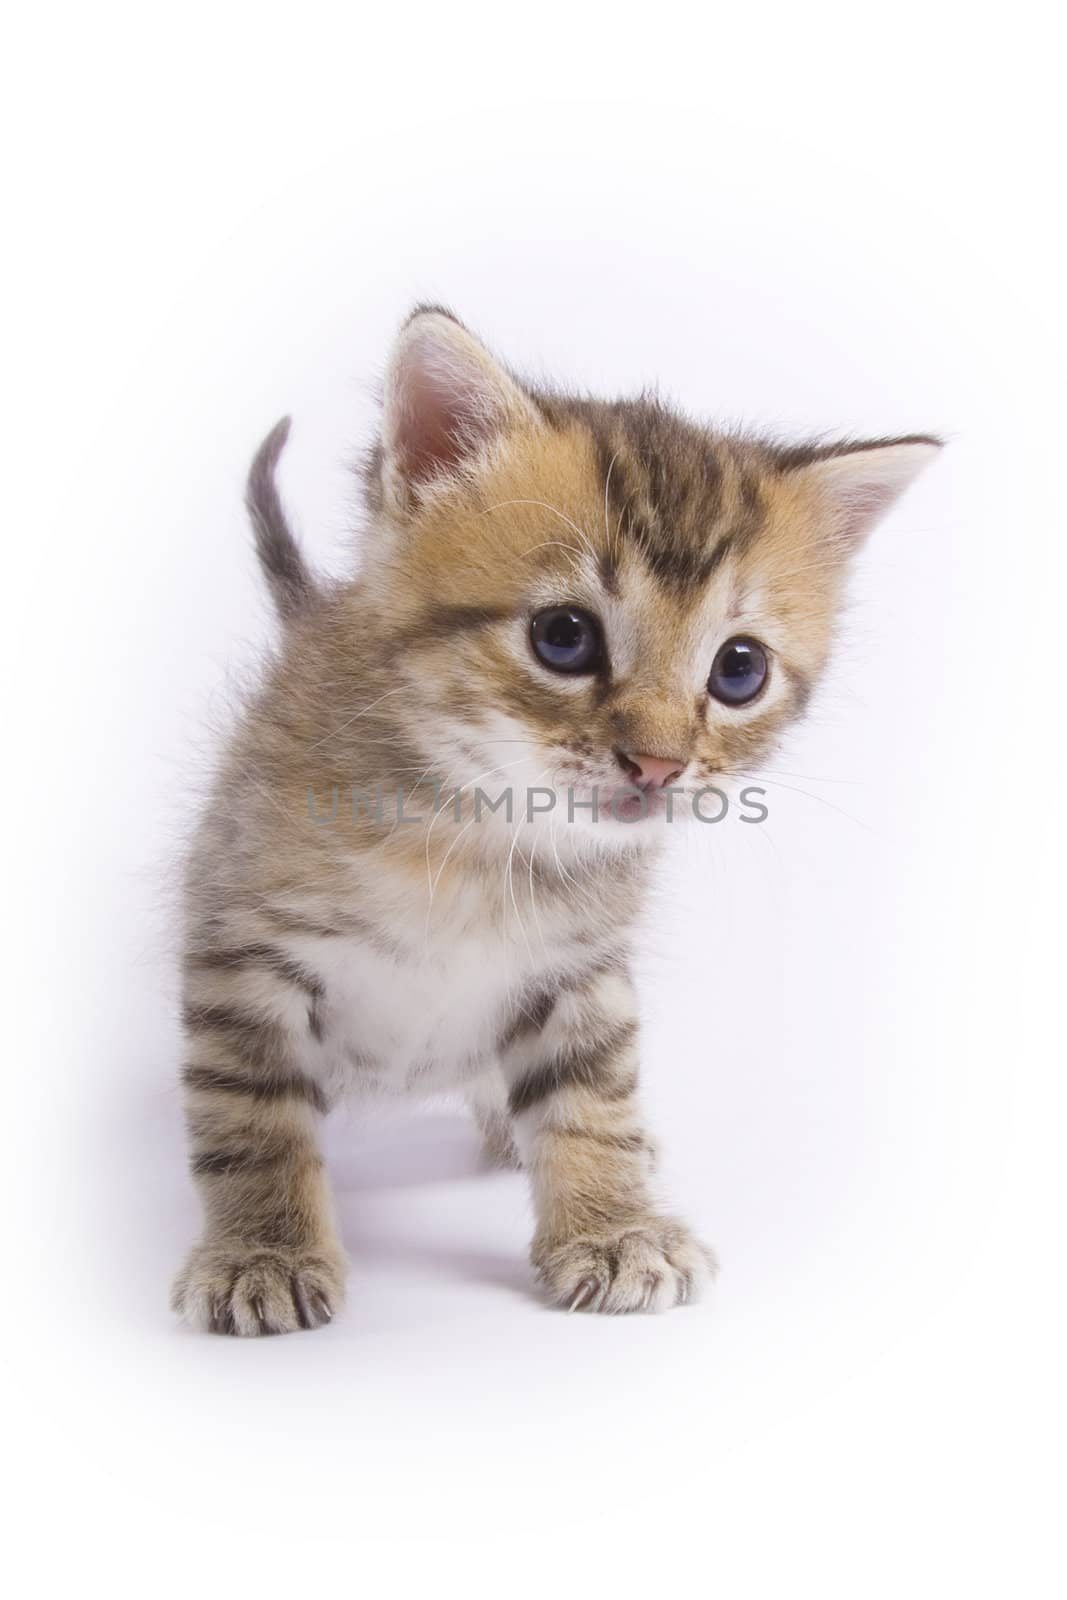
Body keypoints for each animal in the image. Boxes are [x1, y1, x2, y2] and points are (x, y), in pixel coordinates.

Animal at [171, 305, 940, 1331]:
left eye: (738, 669)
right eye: (563, 637)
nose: (658, 764)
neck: (473, 838)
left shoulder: (582, 969)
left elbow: (589, 1099)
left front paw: (612, 1227)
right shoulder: (242, 948)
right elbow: (252, 1115)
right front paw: (262, 1250)